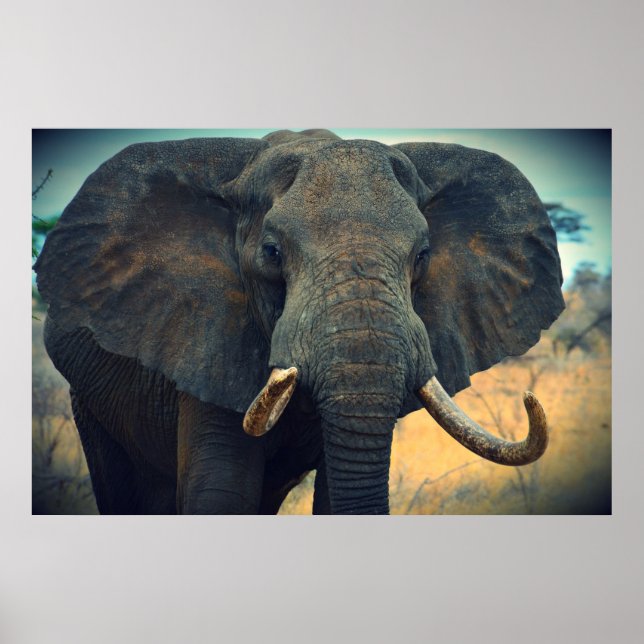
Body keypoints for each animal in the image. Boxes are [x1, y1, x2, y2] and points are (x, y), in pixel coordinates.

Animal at [34, 129, 565, 514]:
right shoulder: (208, 339)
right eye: (272, 253)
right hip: (89, 404)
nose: (529, 400)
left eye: (423, 256)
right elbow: (220, 494)